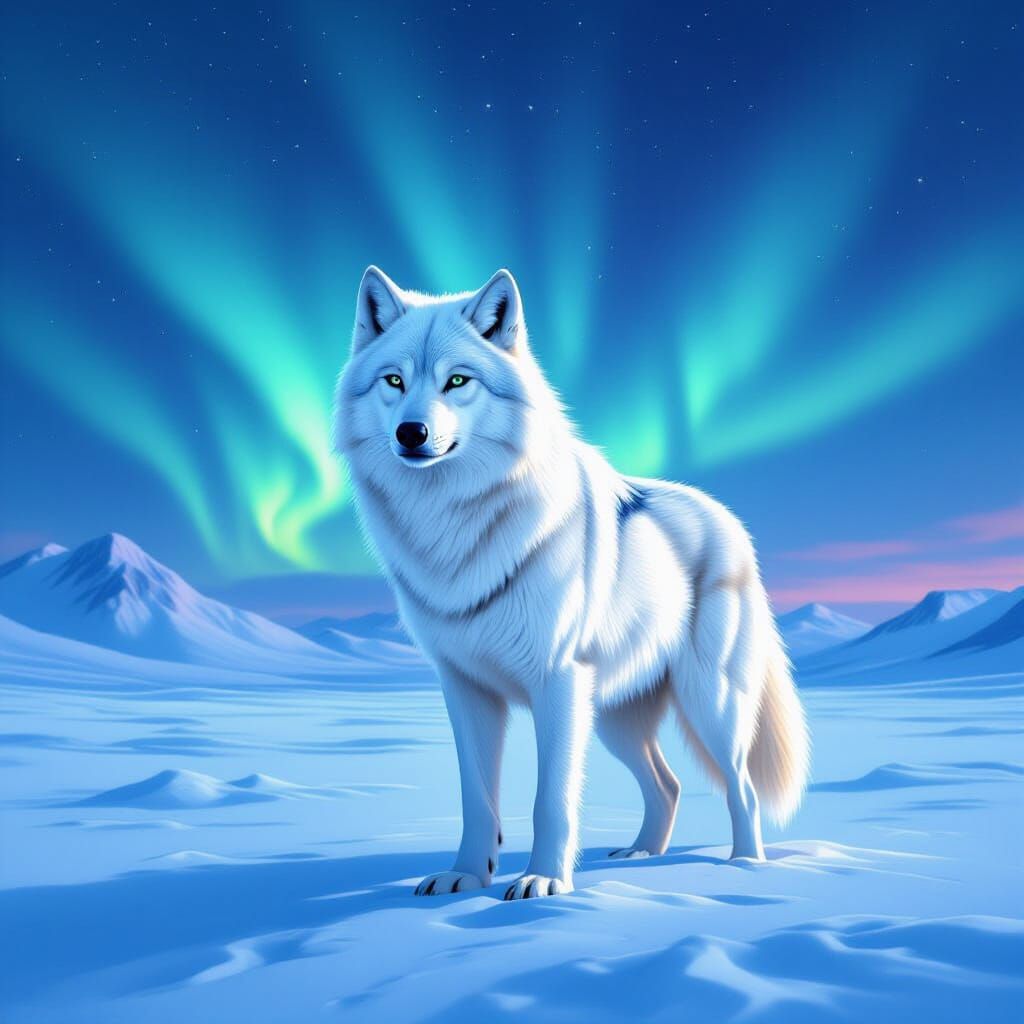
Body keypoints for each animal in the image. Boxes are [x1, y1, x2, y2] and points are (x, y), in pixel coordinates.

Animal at [334, 266, 809, 900]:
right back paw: (640, 855)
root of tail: (730, 521)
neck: (454, 526)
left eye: (457, 381)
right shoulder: (464, 689)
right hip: (614, 718)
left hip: (709, 703)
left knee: (743, 787)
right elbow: (476, 798)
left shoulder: (557, 682)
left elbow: (551, 800)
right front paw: (466, 874)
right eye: (394, 380)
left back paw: (745, 869)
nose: (412, 432)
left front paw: (543, 881)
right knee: (669, 784)